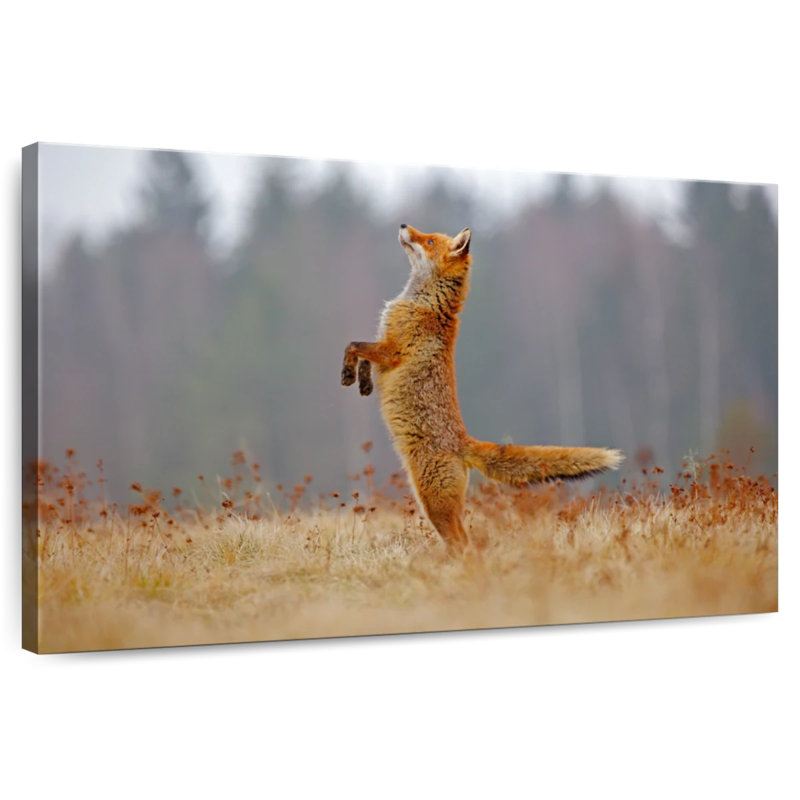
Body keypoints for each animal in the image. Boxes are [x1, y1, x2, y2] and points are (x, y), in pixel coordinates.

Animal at [341, 224, 623, 551]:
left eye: (429, 241)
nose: (402, 225)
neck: (423, 303)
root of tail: (463, 441)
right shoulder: (383, 348)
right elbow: (363, 358)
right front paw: (362, 382)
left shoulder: (392, 350)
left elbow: (353, 345)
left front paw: (347, 373)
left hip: (433, 503)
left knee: (464, 544)